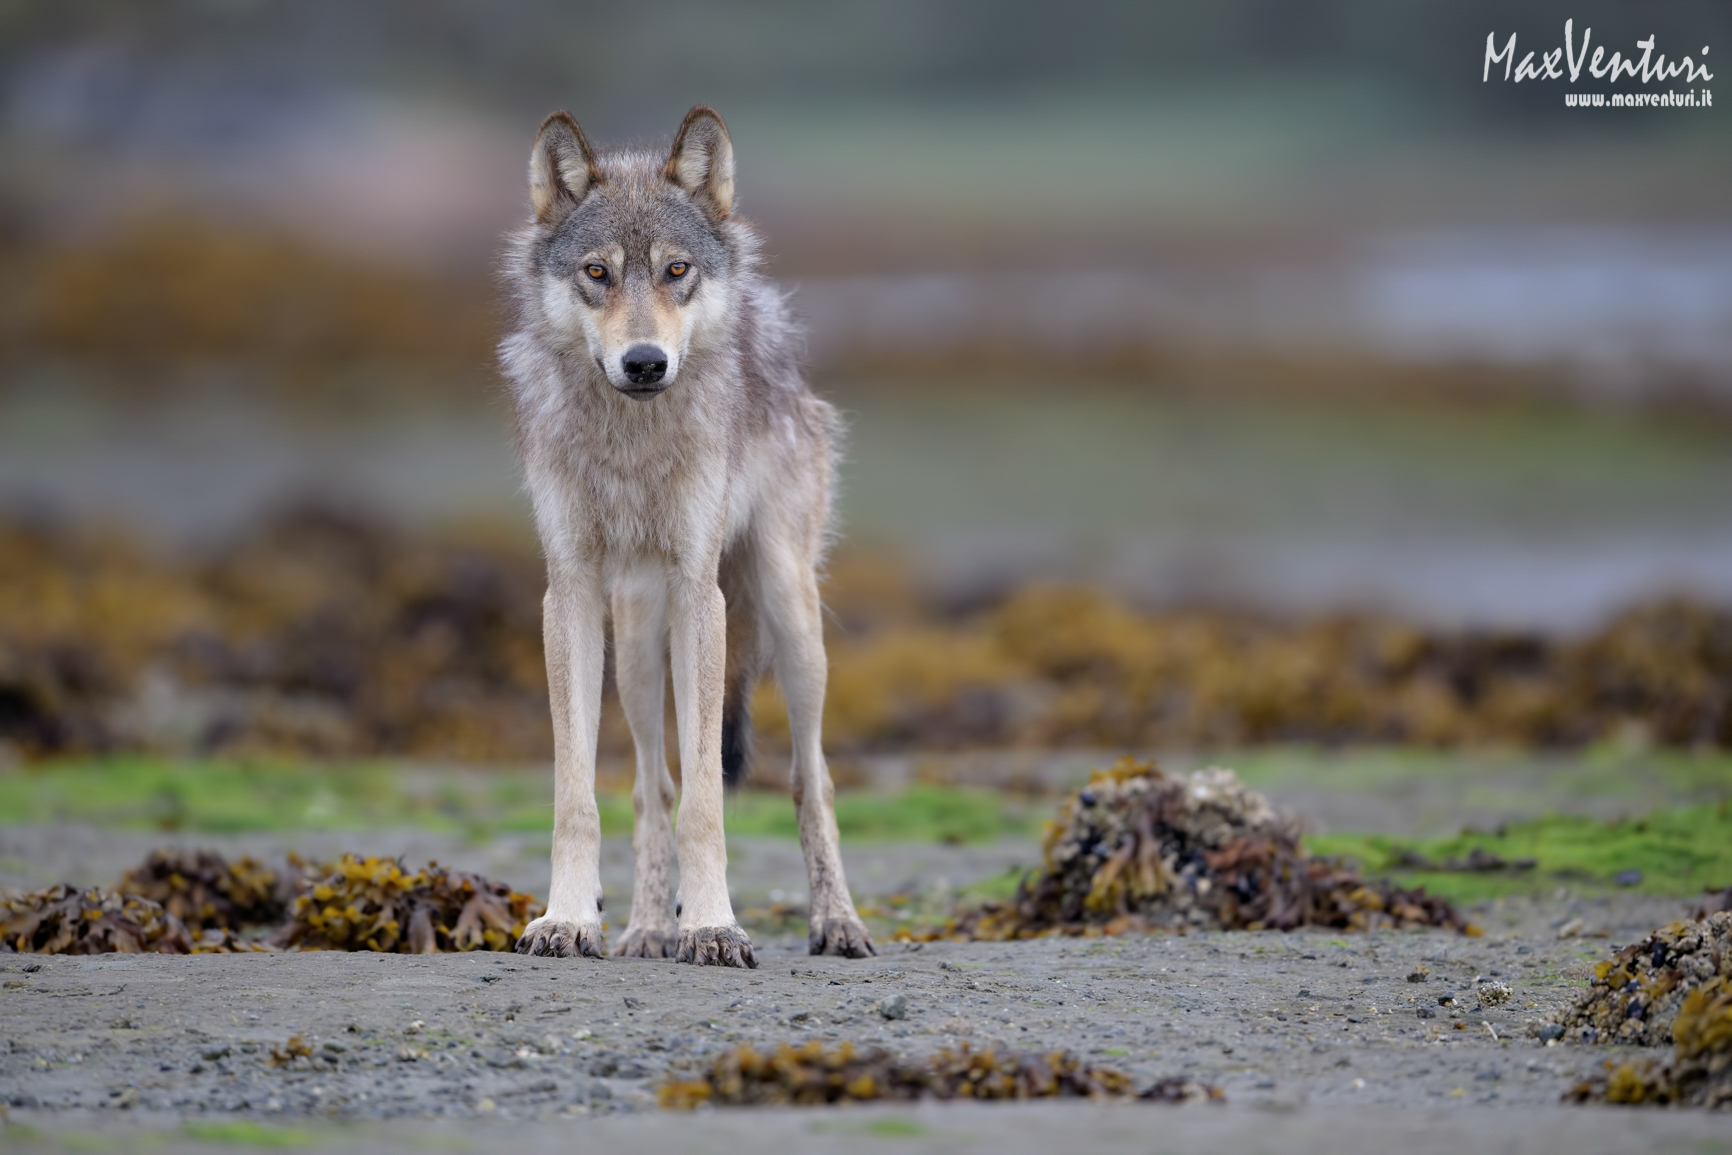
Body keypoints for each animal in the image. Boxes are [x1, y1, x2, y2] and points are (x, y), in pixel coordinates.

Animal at [497, 106, 875, 966]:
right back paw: (644, 929)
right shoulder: (568, 591)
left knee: (811, 779)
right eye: (597, 273)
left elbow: (708, 798)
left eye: (676, 271)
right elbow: (582, 792)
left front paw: (711, 924)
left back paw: (837, 921)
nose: (644, 362)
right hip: (638, 643)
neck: (631, 443)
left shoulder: (704, 593)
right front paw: (569, 918)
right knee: (650, 782)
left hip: (789, 620)